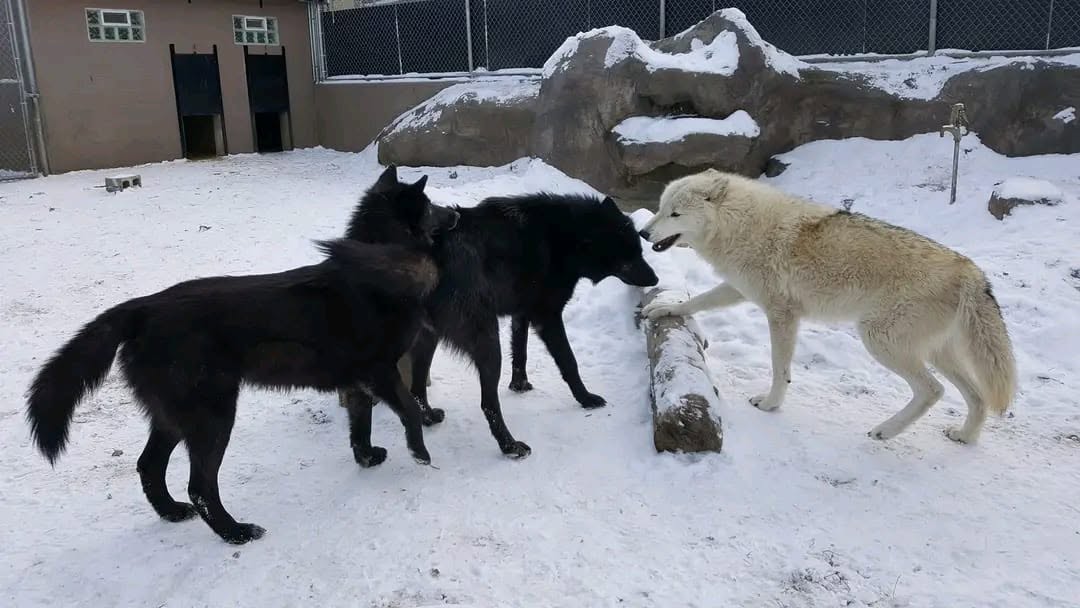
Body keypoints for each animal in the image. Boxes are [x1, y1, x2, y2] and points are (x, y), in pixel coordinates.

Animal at [25, 174, 459, 544]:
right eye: (430, 206)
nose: (455, 214)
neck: (375, 269)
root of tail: (142, 308)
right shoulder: (381, 370)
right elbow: (407, 407)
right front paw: (420, 452)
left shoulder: (357, 383)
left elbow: (360, 425)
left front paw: (367, 458)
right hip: (212, 417)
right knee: (200, 487)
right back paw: (235, 532)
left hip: (174, 418)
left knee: (149, 466)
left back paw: (171, 512)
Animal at [344, 172, 659, 459]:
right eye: (629, 259)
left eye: (640, 251)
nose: (655, 279)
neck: (564, 237)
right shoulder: (548, 317)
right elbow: (569, 362)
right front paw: (585, 398)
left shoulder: (522, 314)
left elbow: (520, 351)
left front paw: (519, 385)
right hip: (485, 341)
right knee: (488, 404)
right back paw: (509, 446)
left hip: (425, 341)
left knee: (412, 389)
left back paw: (408, 429)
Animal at [638, 169, 1016, 444]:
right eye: (660, 208)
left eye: (675, 213)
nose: (642, 232)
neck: (741, 224)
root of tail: (970, 270)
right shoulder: (739, 288)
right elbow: (696, 302)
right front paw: (664, 310)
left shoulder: (781, 314)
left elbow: (780, 369)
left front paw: (771, 404)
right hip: (937, 354)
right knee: (978, 398)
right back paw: (964, 436)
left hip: (879, 341)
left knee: (933, 391)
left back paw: (885, 430)